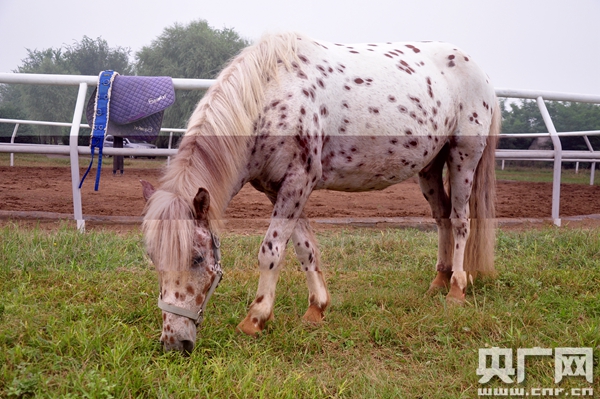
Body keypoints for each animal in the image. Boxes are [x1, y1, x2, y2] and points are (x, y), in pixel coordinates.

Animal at [142, 32, 502, 354]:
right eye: (154, 259)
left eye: (197, 258)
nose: (174, 343)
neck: (271, 95)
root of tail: (478, 70)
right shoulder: (279, 189)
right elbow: (304, 248)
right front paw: (316, 308)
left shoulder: (297, 182)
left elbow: (271, 251)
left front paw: (255, 319)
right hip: (429, 168)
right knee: (442, 218)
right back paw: (438, 282)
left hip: (463, 158)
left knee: (460, 221)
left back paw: (456, 289)